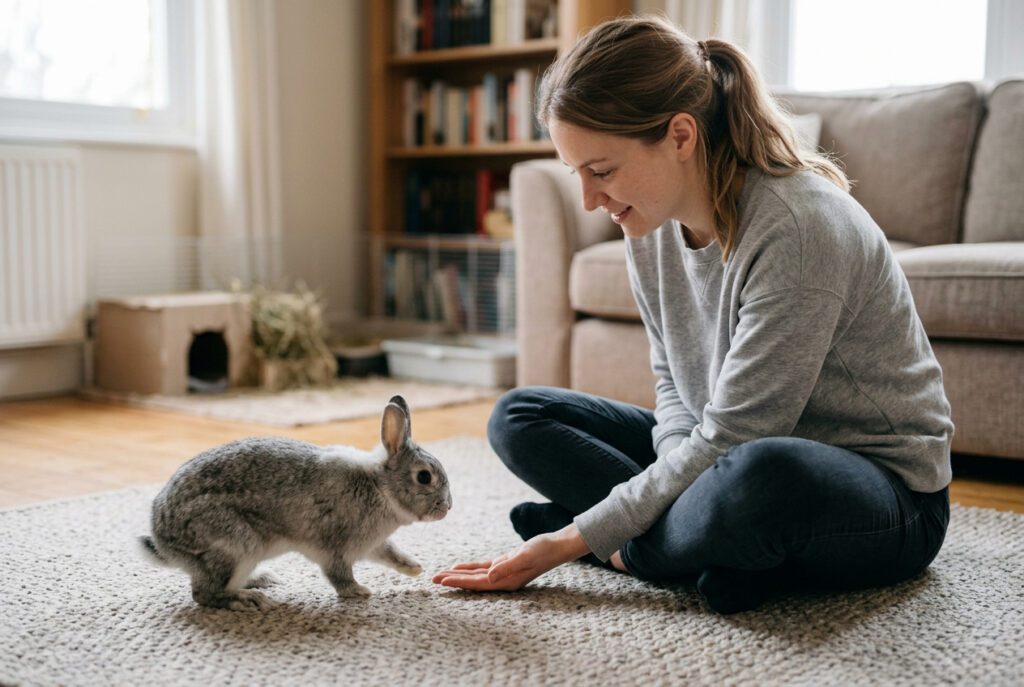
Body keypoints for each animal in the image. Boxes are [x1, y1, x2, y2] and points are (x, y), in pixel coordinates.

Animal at [137, 395, 451, 611]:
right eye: (424, 477)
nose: (447, 508)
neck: (380, 487)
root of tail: (165, 542)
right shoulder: (336, 548)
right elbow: (339, 575)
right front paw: (359, 591)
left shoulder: (373, 544)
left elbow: (391, 553)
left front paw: (414, 567)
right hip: (233, 544)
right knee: (203, 594)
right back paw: (247, 600)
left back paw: (260, 580)